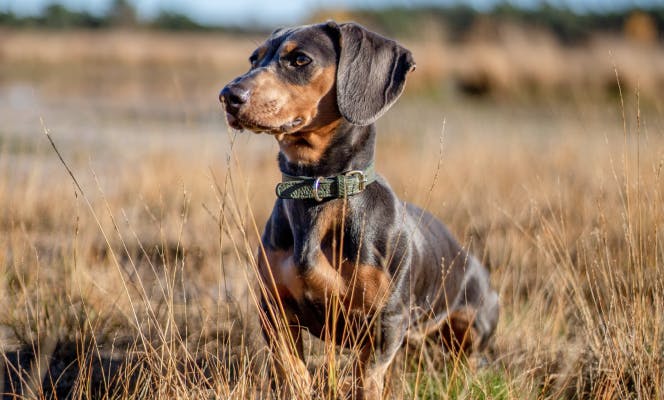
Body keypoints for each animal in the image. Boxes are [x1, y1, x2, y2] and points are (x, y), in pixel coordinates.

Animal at [219, 21, 498, 396]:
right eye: (254, 58)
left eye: (300, 59)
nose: (228, 96)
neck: (318, 190)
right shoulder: (274, 311)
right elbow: (293, 374)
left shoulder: (385, 323)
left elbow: (366, 380)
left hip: (472, 325)